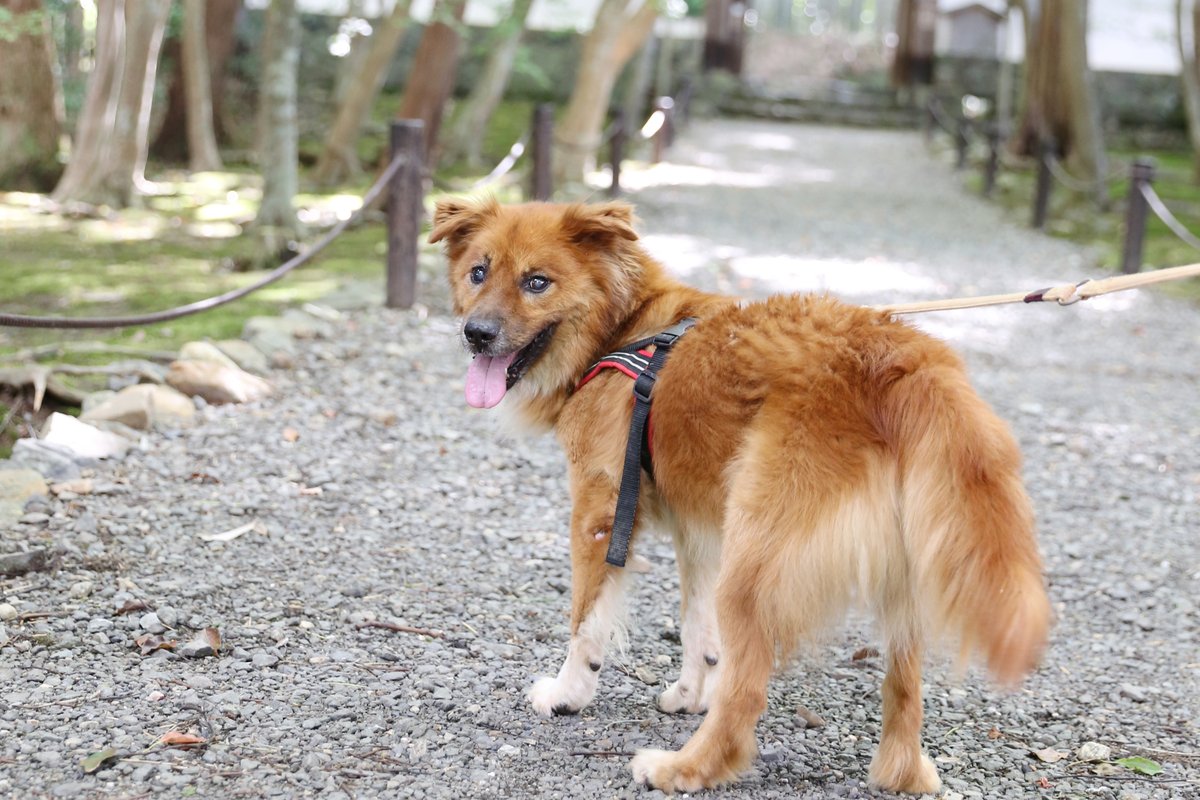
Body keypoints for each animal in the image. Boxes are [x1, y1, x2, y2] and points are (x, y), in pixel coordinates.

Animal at [432, 199, 1051, 796]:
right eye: (478, 273)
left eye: (537, 282)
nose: (476, 333)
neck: (624, 327)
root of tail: (899, 357)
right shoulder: (698, 531)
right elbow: (696, 628)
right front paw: (689, 694)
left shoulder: (600, 513)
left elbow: (587, 621)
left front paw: (567, 694)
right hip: (891, 580)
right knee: (905, 692)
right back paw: (901, 773)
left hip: (754, 569)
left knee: (748, 695)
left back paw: (683, 768)